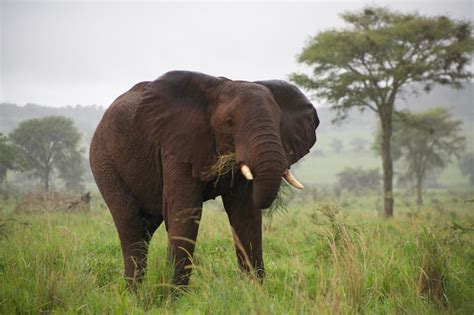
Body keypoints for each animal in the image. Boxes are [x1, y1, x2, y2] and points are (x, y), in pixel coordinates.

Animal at [90, 71, 318, 288]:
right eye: (229, 122)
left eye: (278, 122)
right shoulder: (175, 146)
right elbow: (186, 212)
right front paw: (172, 297)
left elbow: (245, 215)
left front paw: (255, 293)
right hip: (104, 162)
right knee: (131, 226)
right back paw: (134, 294)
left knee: (145, 228)